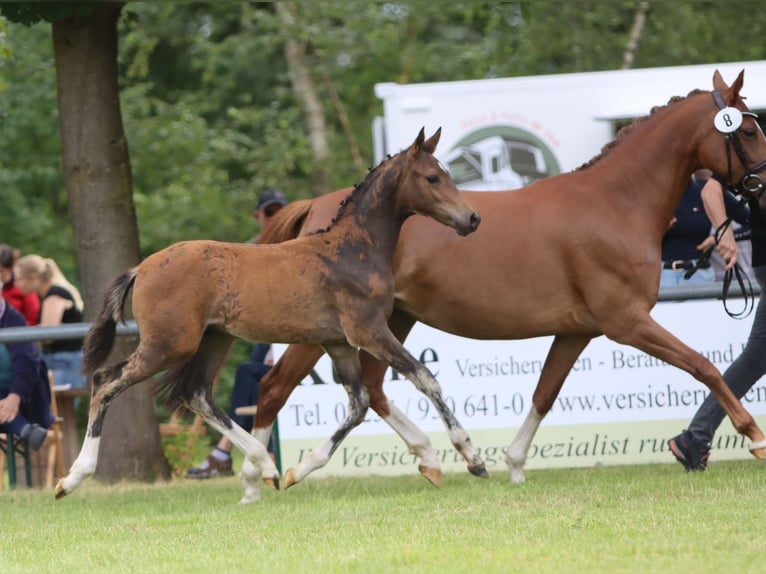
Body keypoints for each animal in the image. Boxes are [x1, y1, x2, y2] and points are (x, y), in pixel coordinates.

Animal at [53, 128, 482, 501]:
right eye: (432, 177)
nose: (473, 218)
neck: (353, 250)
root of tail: (141, 268)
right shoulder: (369, 332)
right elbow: (425, 378)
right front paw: (472, 456)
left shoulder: (337, 343)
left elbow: (359, 404)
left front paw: (298, 470)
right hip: (169, 344)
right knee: (106, 380)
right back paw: (72, 478)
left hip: (214, 339)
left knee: (196, 393)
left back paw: (268, 467)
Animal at [242, 70, 766, 499]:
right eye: (748, 129)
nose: (763, 187)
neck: (616, 203)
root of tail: (316, 209)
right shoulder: (627, 322)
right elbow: (704, 366)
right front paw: (755, 436)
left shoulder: (578, 330)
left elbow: (544, 393)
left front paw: (512, 464)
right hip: (324, 329)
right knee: (275, 387)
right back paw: (261, 475)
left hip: (390, 321)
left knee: (373, 389)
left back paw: (429, 459)